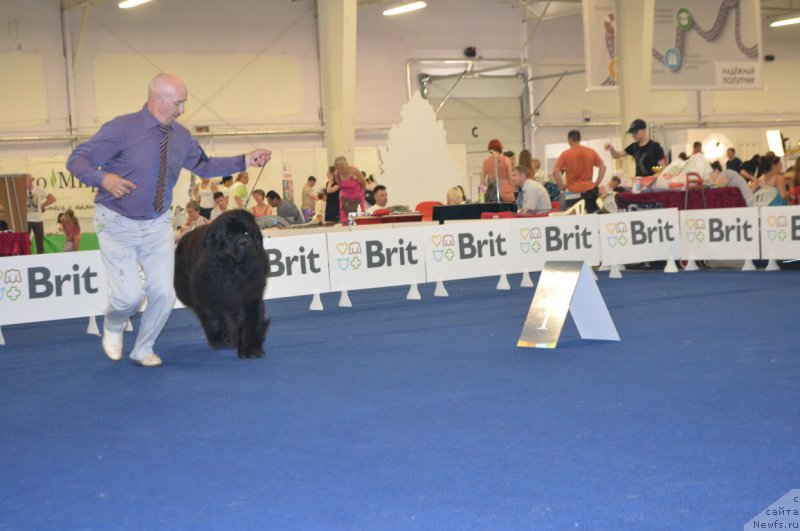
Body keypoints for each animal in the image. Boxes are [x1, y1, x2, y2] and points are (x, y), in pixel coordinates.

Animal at [174, 210, 268, 360]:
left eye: (246, 232)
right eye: (229, 235)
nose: (244, 242)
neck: (233, 270)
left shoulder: (250, 297)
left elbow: (250, 322)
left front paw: (251, 349)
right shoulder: (208, 296)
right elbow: (214, 320)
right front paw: (217, 340)